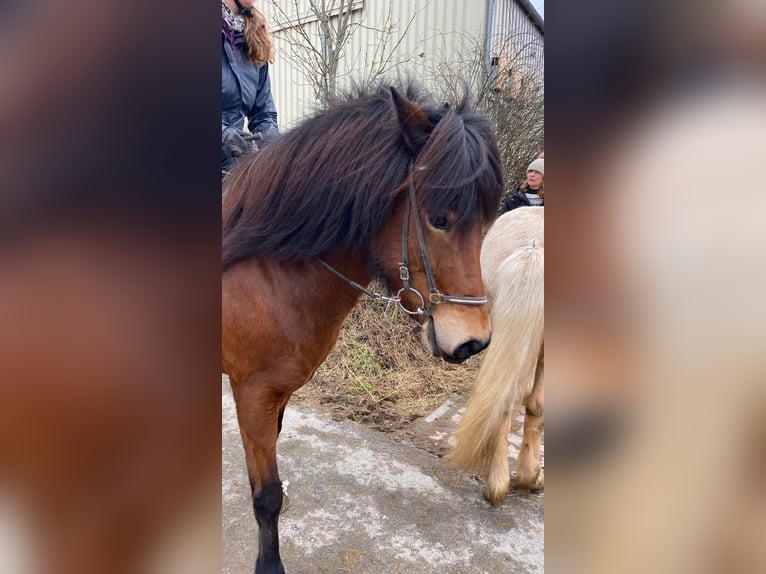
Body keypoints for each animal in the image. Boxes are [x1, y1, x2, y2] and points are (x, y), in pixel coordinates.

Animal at [220, 82, 504, 574]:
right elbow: (267, 497)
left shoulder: (277, 393)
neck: (265, 269)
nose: (473, 342)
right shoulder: (251, 391)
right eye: (439, 218)